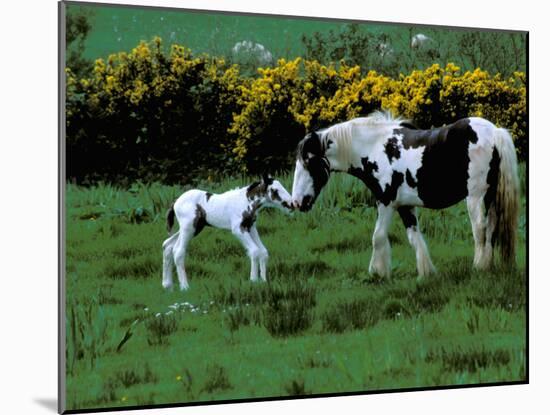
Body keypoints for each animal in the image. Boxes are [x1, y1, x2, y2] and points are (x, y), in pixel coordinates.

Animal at [163, 176, 296, 292]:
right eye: (275, 190)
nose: (291, 204)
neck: (245, 201)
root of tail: (175, 202)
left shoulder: (251, 227)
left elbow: (263, 252)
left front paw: (263, 282)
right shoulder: (238, 229)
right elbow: (254, 251)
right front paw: (253, 280)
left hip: (193, 229)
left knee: (167, 245)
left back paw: (168, 286)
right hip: (188, 228)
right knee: (178, 251)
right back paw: (185, 287)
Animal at [294, 111, 520, 280]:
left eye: (308, 162)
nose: (297, 202)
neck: (375, 147)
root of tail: (495, 132)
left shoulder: (385, 202)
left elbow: (378, 237)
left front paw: (378, 273)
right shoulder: (404, 206)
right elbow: (415, 238)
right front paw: (426, 273)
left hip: (475, 198)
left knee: (480, 230)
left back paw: (479, 267)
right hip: (491, 198)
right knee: (492, 229)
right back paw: (488, 266)